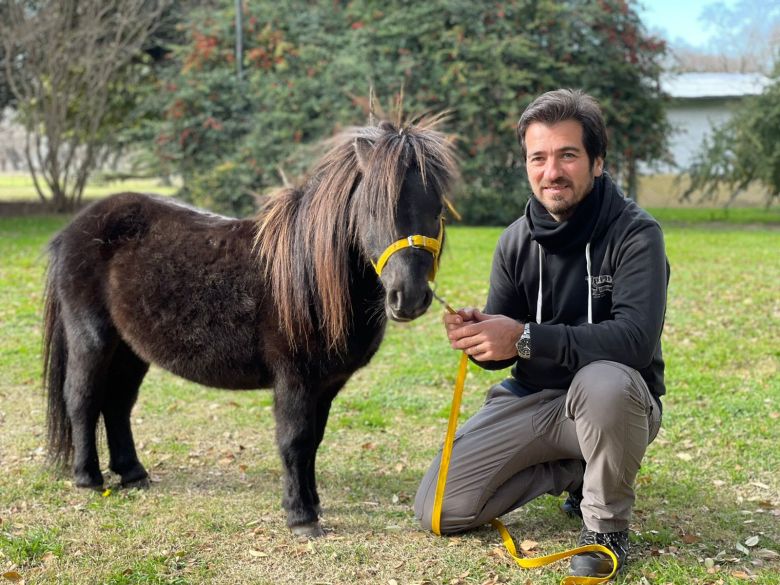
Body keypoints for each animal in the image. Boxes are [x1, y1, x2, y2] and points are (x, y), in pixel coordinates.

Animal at [41, 116, 458, 536]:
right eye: (374, 209)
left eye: (437, 208)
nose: (409, 296)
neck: (308, 275)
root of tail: (73, 230)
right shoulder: (295, 379)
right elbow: (295, 441)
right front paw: (300, 516)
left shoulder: (325, 384)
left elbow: (314, 440)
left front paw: (313, 503)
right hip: (92, 339)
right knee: (82, 398)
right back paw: (88, 478)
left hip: (130, 350)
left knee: (117, 403)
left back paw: (132, 473)